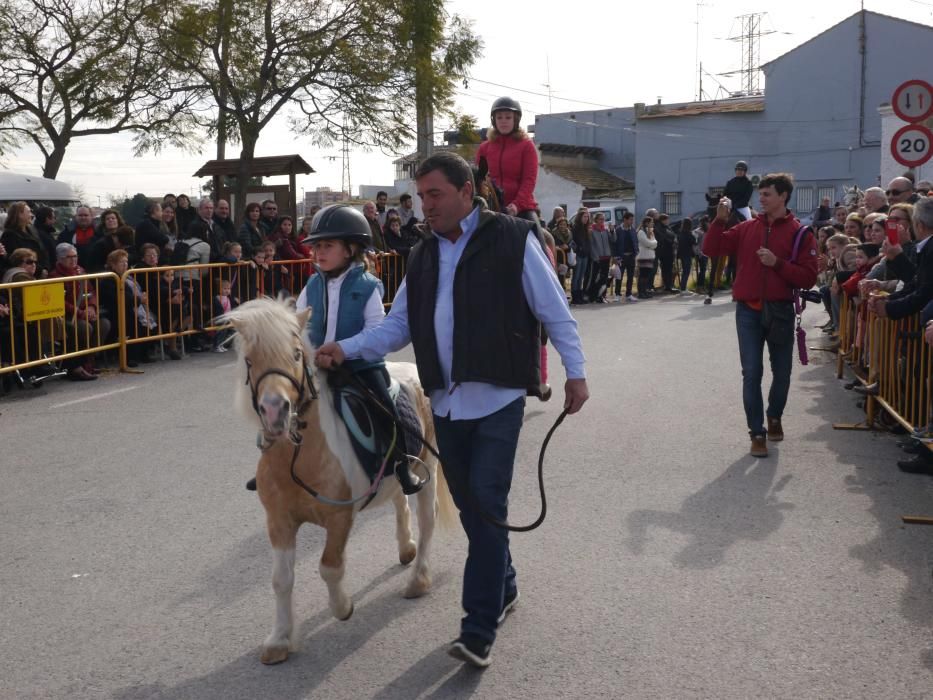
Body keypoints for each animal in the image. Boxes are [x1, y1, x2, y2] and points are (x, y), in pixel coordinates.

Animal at [222, 298, 456, 664]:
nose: (275, 410)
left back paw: (418, 580)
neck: (300, 453)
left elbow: (329, 567)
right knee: (400, 500)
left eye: (296, 354)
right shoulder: (278, 521)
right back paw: (406, 548)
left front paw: (342, 607)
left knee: (427, 520)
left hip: (428, 466)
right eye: (250, 360)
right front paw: (279, 640)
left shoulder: (339, 518)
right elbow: (280, 579)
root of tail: (413, 371)